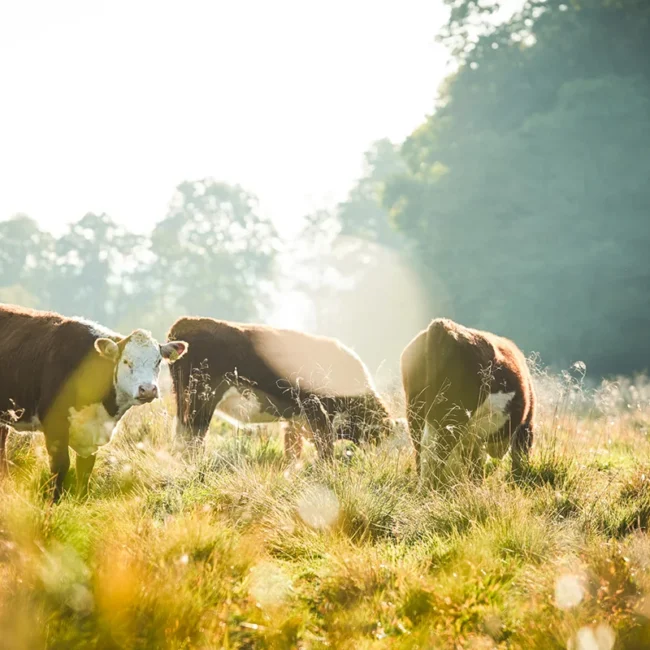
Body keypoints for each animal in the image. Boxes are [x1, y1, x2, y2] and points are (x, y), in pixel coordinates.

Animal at [0, 303, 188, 500]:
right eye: (126, 361)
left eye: (158, 361)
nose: (148, 389)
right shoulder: (55, 426)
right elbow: (60, 467)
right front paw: (53, 503)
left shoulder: (92, 435)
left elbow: (85, 470)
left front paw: (80, 501)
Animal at [167, 317, 398, 459]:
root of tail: (187, 321)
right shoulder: (316, 411)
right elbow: (325, 450)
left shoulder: (296, 421)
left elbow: (293, 451)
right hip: (201, 399)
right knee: (193, 439)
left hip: (183, 400)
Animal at [400, 318, 535, 486]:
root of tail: (443, 326)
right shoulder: (526, 424)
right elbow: (519, 458)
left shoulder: (472, 440)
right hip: (452, 417)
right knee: (437, 453)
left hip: (416, 412)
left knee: (421, 451)